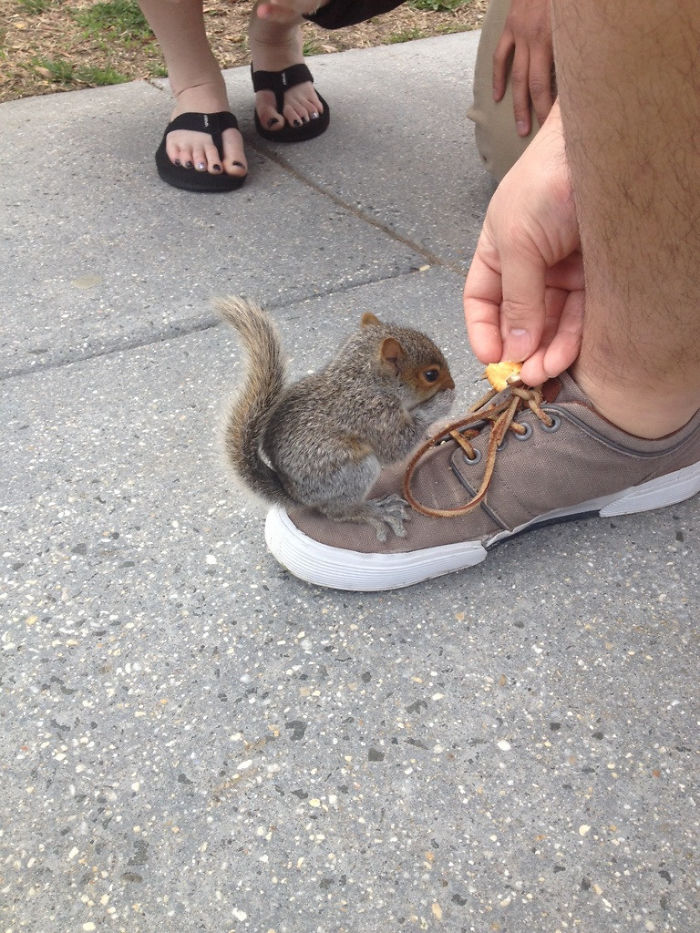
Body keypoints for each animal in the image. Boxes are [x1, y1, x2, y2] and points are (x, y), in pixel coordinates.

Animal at [217, 296, 455, 539]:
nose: (453, 384)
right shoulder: (374, 416)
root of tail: (298, 496)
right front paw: (441, 403)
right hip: (353, 471)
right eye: (431, 375)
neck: (367, 380)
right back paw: (375, 511)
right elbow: (396, 447)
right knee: (337, 512)